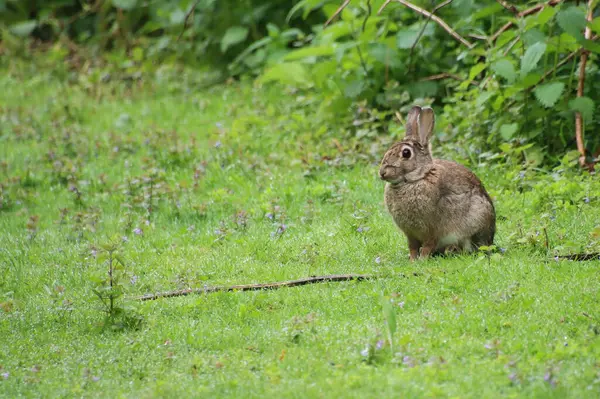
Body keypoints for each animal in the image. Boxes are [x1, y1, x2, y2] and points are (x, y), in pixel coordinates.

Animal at [380, 104, 496, 260]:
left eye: (406, 153)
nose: (382, 173)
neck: (417, 178)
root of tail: (490, 239)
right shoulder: (410, 234)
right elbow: (413, 247)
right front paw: (412, 260)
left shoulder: (432, 230)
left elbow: (428, 245)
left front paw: (422, 260)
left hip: (476, 220)